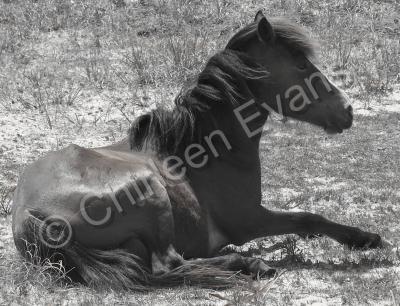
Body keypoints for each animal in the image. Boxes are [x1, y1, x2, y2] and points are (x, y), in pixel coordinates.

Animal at [12, 11, 384, 290]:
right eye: (302, 64)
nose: (347, 110)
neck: (203, 149)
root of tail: (28, 213)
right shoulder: (250, 220)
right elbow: (309, 217)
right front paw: (366, 238)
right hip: (152, 192)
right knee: (168, 264)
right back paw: (250, 263)